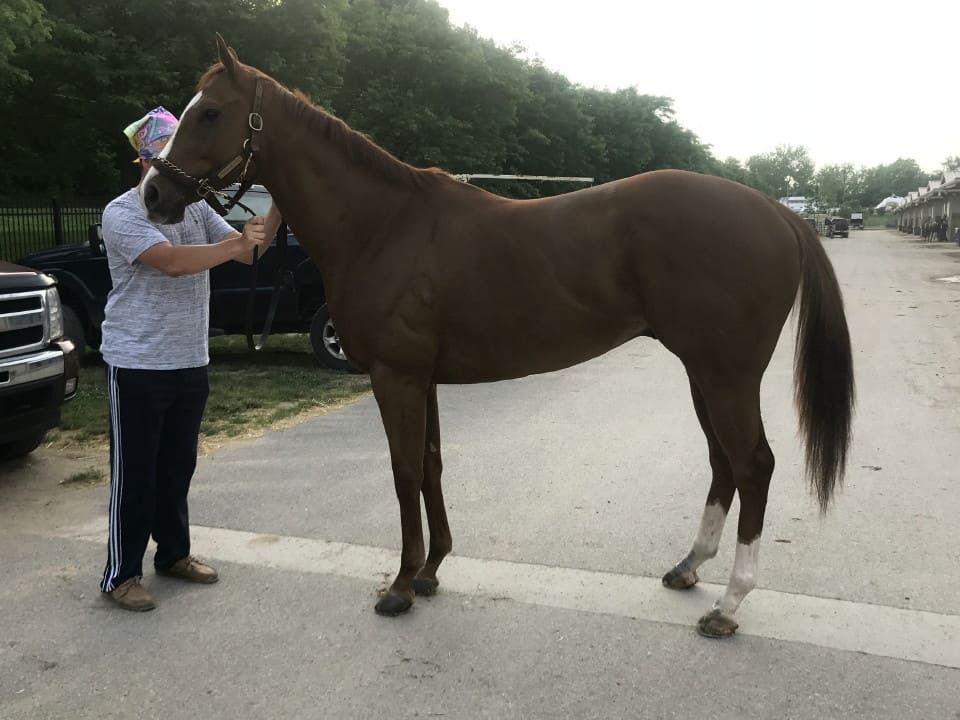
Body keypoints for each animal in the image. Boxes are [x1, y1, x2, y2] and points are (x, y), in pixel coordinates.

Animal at [141, 35, 854, 638]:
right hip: (704, 372)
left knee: (753, 465)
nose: (153, 196)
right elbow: (430, 465)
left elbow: (404, 471)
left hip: (726, 374)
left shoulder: (395, 376)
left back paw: (730, 605)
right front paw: (431, 571)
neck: (383, 225)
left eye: (210, 113)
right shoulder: (421, 378)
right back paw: (688, 570)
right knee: (723, 462)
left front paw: (400, 585)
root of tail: (778, 212)